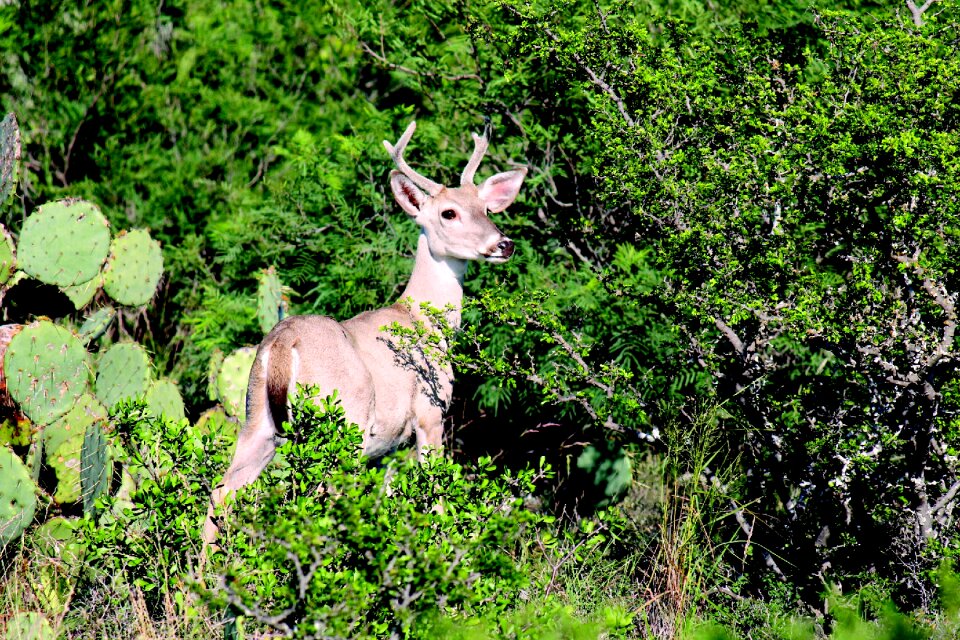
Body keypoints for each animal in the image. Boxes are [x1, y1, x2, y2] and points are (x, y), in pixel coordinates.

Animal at [202, 122, 528, 548]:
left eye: (487, 209)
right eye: (449, 212)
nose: (503, 244)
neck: (422, 320)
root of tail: (283, 344)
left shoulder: (388, 444)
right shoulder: (430, 413)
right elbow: (436, 497)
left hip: (257, 419)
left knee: (221, 493)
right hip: (342, 421)